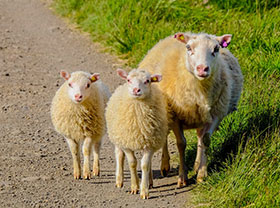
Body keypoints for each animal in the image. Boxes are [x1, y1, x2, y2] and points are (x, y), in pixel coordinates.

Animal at [104, 68, 166, 200]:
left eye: (147, 81)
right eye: (128, 80)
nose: (136, 90)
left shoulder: (150, 144)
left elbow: (145, 165)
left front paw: (144, 190)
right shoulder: (127, 143)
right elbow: (132, 163)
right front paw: (134, 187)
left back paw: (150, 182)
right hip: (118, 137)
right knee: (119, 155)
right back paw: (119, 180)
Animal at [139, 33, 244, 187]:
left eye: (216, 48)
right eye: (188, 48)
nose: (202, 68)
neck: (200, 89)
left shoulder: (216, 114)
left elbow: (205, 140)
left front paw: (201, 174)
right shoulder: (174, 115)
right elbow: (181, 144)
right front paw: (182, 177)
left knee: (200, 136)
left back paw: (196, 165)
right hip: (161, 113)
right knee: (163, 136)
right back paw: (164, 166)